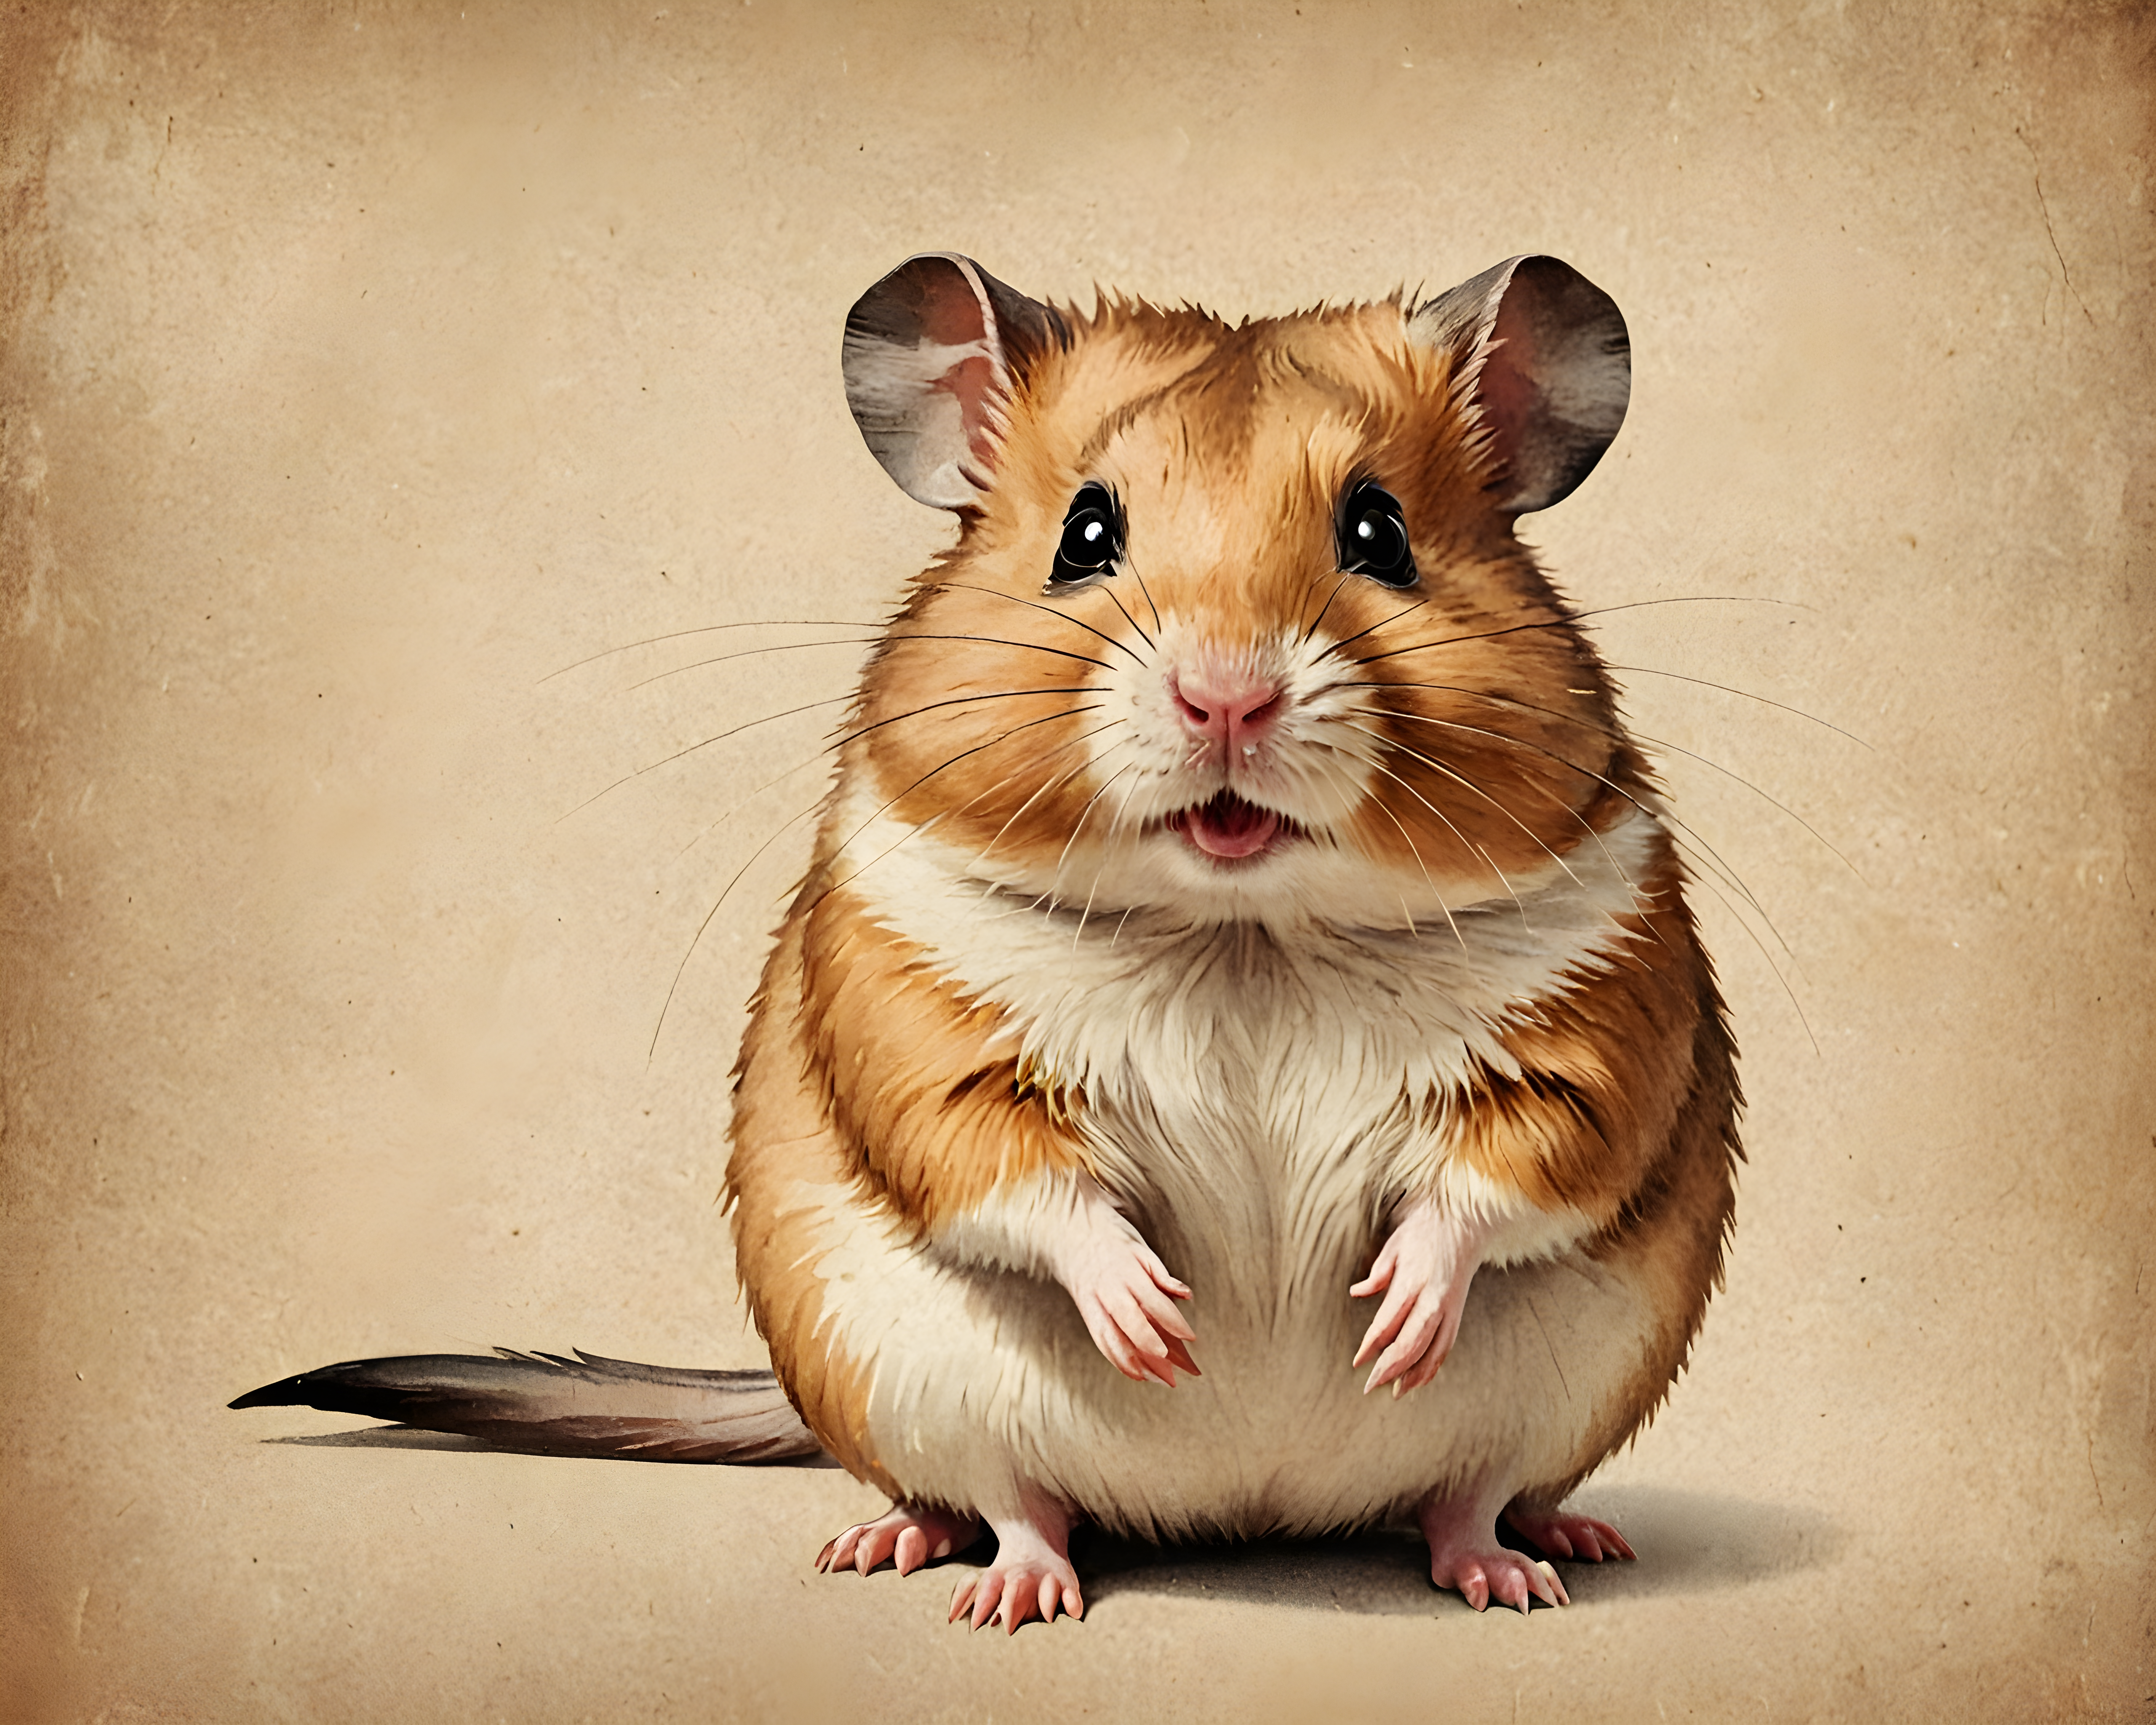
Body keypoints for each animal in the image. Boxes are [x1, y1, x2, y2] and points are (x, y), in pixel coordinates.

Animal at [724, 252, 1740, 1629]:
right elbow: (1018, 1175)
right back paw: (961, 1574)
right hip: (902, 1378)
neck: (1243, 934)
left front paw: (1388, 1323)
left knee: (1470, 1495)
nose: (1225, 699)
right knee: (1005, 1501)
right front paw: (1159, 1327)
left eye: (1378, 533)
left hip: (1572, 1387)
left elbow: (1503, 1171)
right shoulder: (912, 1020)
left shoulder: (1597, 1019)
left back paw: (1528, 1565)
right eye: (1083, 534)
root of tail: (1250, 1509)